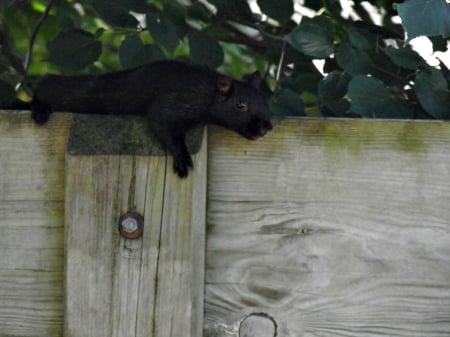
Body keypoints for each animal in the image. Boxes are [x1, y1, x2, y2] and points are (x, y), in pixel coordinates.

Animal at [8, 60, 272, 177]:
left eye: (265, 102)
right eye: (240, 105)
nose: (266, 127)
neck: (205, 93)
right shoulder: (169, 104)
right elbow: (165, 128)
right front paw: (182, 158)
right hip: (65, 93)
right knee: (41, 91)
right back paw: (40, 108)